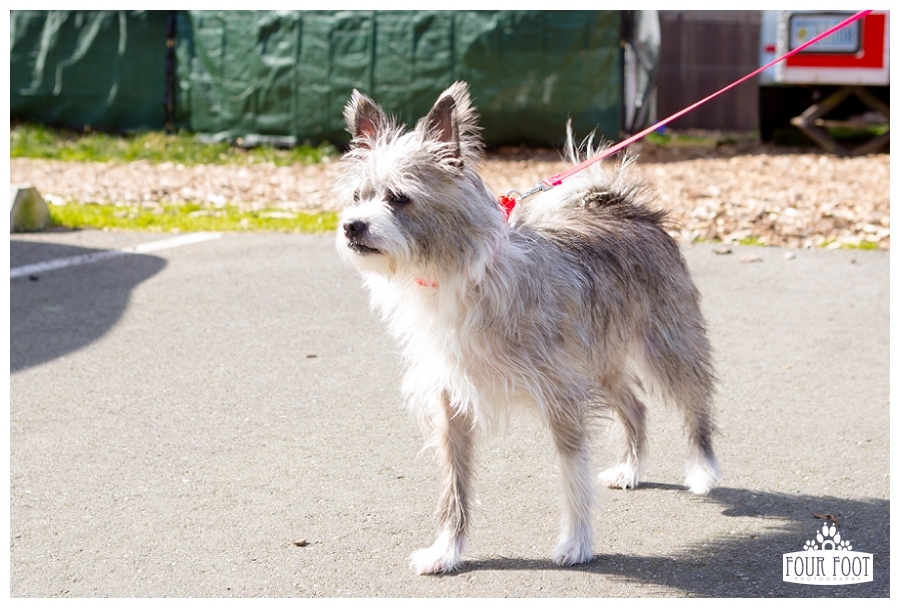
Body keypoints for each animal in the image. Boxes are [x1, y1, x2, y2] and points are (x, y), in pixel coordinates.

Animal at [335, 82, 718, 575]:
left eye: (398, 198)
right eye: (356, 197)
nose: (352, 226)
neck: (461, 279)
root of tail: (626, 209)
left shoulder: (562, 396)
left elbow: (572, 478)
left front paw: (578, 543)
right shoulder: (451, 405)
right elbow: (454, 488)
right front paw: (447, 550)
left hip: (666, 346)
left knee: (695, 402)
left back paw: (703, 469)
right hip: (603, 364)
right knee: (635, 408)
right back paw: (631, 469)